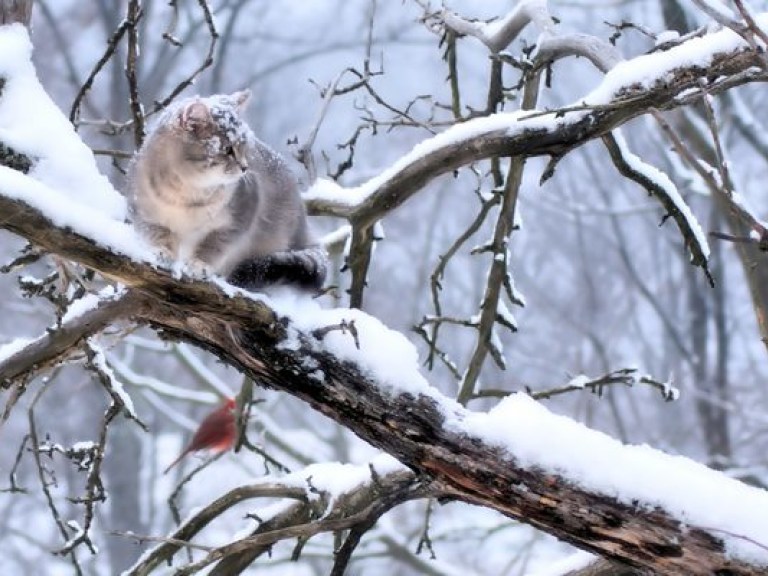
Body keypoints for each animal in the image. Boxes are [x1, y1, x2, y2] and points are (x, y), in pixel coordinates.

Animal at [125, 91, 328, 294]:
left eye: (245, 146)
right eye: (227, 149)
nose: (245, 168)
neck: (186, 194)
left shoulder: (237, 219)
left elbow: (213, 245)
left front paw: (199, 264)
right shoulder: (142, 210)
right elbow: (155, 233)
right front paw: (162, 251)